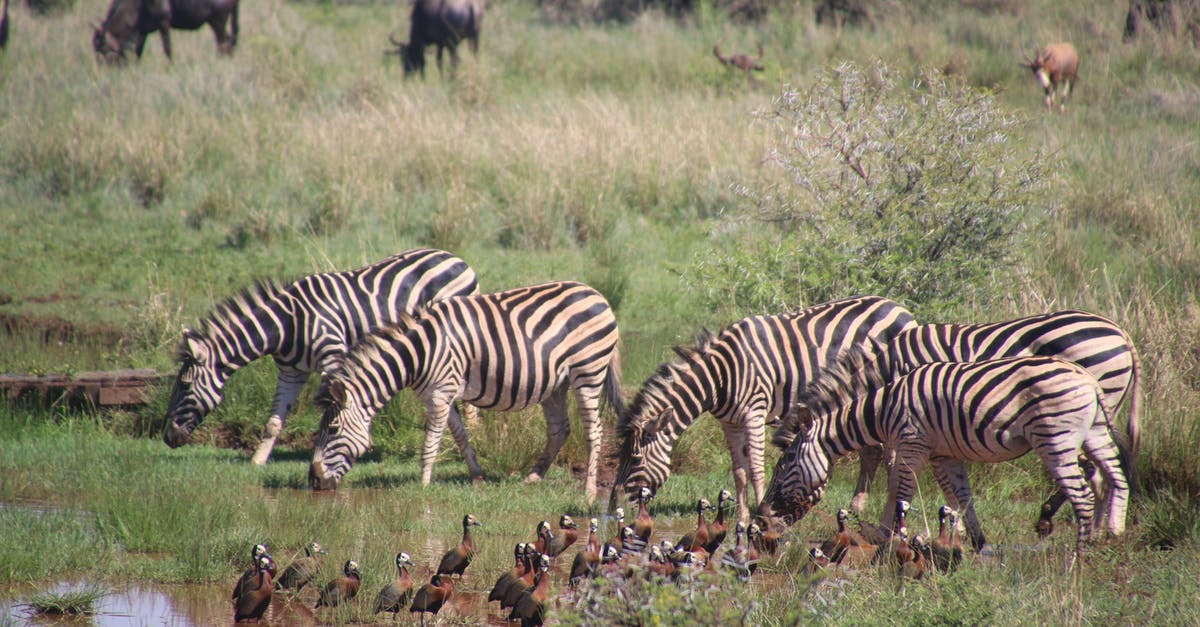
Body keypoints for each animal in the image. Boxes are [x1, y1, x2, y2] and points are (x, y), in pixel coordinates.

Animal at [163, 246, 477, 461]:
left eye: (185, 385)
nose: (167, 438)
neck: (287, 325)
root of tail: (456, 258)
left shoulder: (332, 357)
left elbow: (332, 407)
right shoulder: (290, 372)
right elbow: (274, 423)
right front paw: (257, 462)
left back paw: (476, 433)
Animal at [309, 281, 624, 499]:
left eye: (333, 429)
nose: (313, 481)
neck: (419, 353)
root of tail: (597, 294)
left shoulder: (440, 394)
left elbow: (431, 442)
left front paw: (423, 485)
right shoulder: (442, 393)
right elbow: (460, 435)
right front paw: (477, 476)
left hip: (588, 371)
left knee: (593, 430)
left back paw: (589, 491)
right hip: (556, 383)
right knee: (560, 429)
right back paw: (534, 477)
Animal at [614, 295, 912, 518]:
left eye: (636, 459)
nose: (613, 510)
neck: (720, 376)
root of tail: (899, 307)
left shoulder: (754, 413)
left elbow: (757, 468)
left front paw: (758, 511)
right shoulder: (729, 422)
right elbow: (739, 471)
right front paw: (742, 517)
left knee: (893, 455)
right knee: (872, 452)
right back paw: (856, 507)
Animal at [772, 307, 1137, 530]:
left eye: (786, 465)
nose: (771, 521)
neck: (889, 369)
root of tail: (1121, 333)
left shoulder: (914, 413)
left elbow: (891, 463)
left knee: (1092, 468)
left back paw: (1057, 518)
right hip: (1098, 412)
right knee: (1102, 468)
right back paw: (1101, 526)